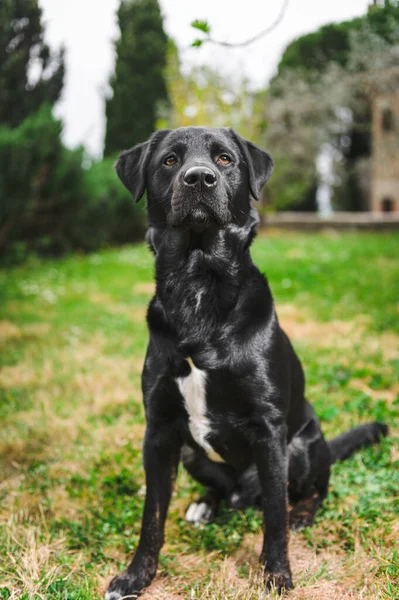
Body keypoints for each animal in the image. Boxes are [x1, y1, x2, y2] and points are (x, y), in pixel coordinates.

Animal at [104, 125, 390, 596]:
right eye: (169, 160)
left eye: (224, 159)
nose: (199, 178)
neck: (199, 285)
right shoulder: (159, 431)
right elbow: (152, 517)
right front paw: (135, 576)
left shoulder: (269, 430)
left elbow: (274, 517)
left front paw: (276, 574)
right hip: (190, 453)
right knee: (222, 490)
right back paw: (205, 504)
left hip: (300, 446)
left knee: (308, 491)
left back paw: (301, 513)